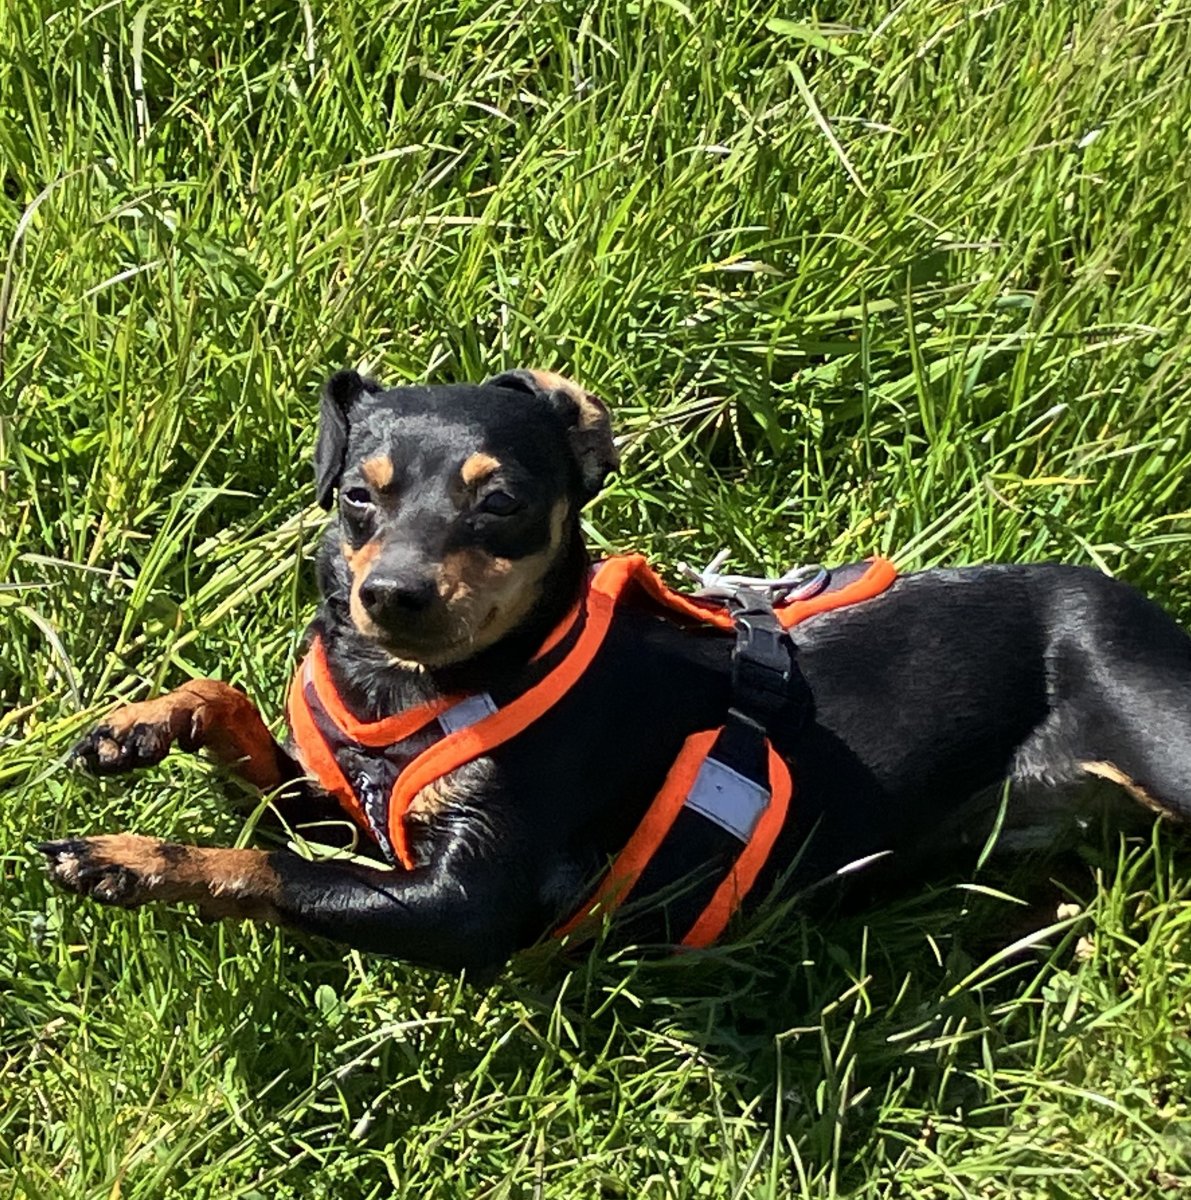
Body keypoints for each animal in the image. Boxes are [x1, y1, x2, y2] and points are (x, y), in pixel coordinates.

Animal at [40, 368, 1191, 974]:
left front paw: (134, 858)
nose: (394, 595)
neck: (417, 687)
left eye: (500, 502)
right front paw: (144, 723)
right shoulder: (362, 814)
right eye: (358, 497)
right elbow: (239, 724)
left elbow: (273, 867)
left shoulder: (464, 905)